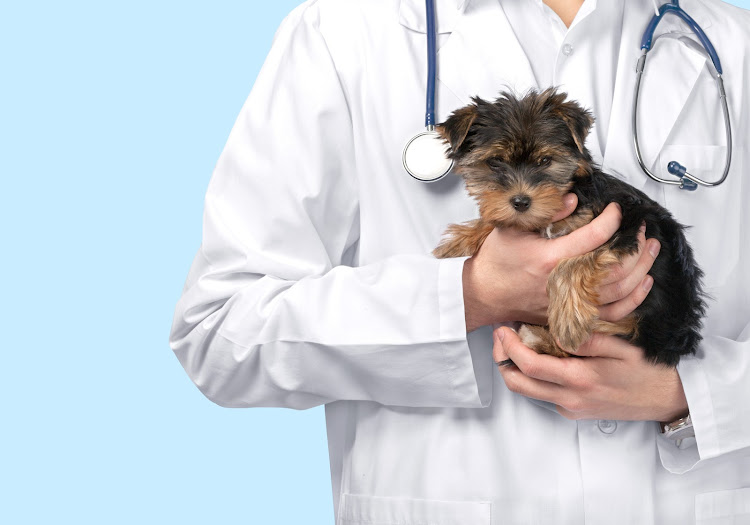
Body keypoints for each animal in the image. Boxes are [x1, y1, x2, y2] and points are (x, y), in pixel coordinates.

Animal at [432, 88, 708, 366]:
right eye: (496, 162)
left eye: (545, 160)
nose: (521, 201)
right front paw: (458, 242)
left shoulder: (625, 223)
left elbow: (570, 265)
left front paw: (568, 319)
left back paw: (541, 338)